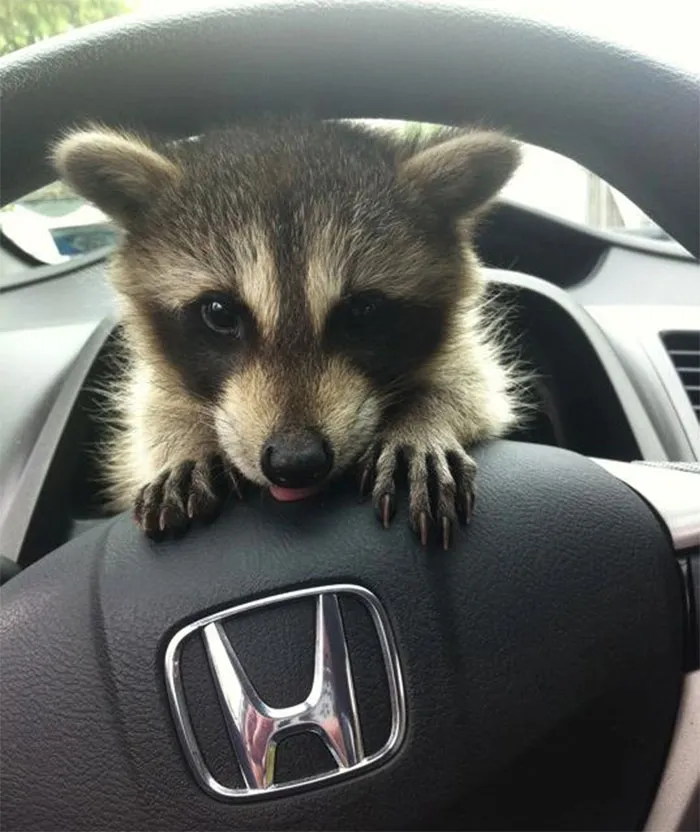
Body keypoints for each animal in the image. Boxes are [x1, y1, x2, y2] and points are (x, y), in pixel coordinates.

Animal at [52, 117, 523, 549]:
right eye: (219, 313)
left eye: (363, 311)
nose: (295, 462)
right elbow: (151, 410)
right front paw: (186, 441)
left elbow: (476, 385)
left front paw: (422, 418)